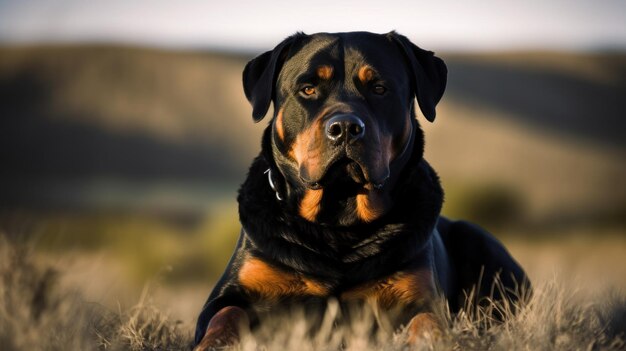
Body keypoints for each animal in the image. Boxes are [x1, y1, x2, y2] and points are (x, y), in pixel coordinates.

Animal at [194, 31, 528, 350]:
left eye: (379, 88)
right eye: (308, 89)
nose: (345, 127)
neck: (339, 221)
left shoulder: (419, 297)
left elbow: (428, 322)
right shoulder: (233, 292)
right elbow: (226, 315)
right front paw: (213, 345)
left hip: (477, 237)